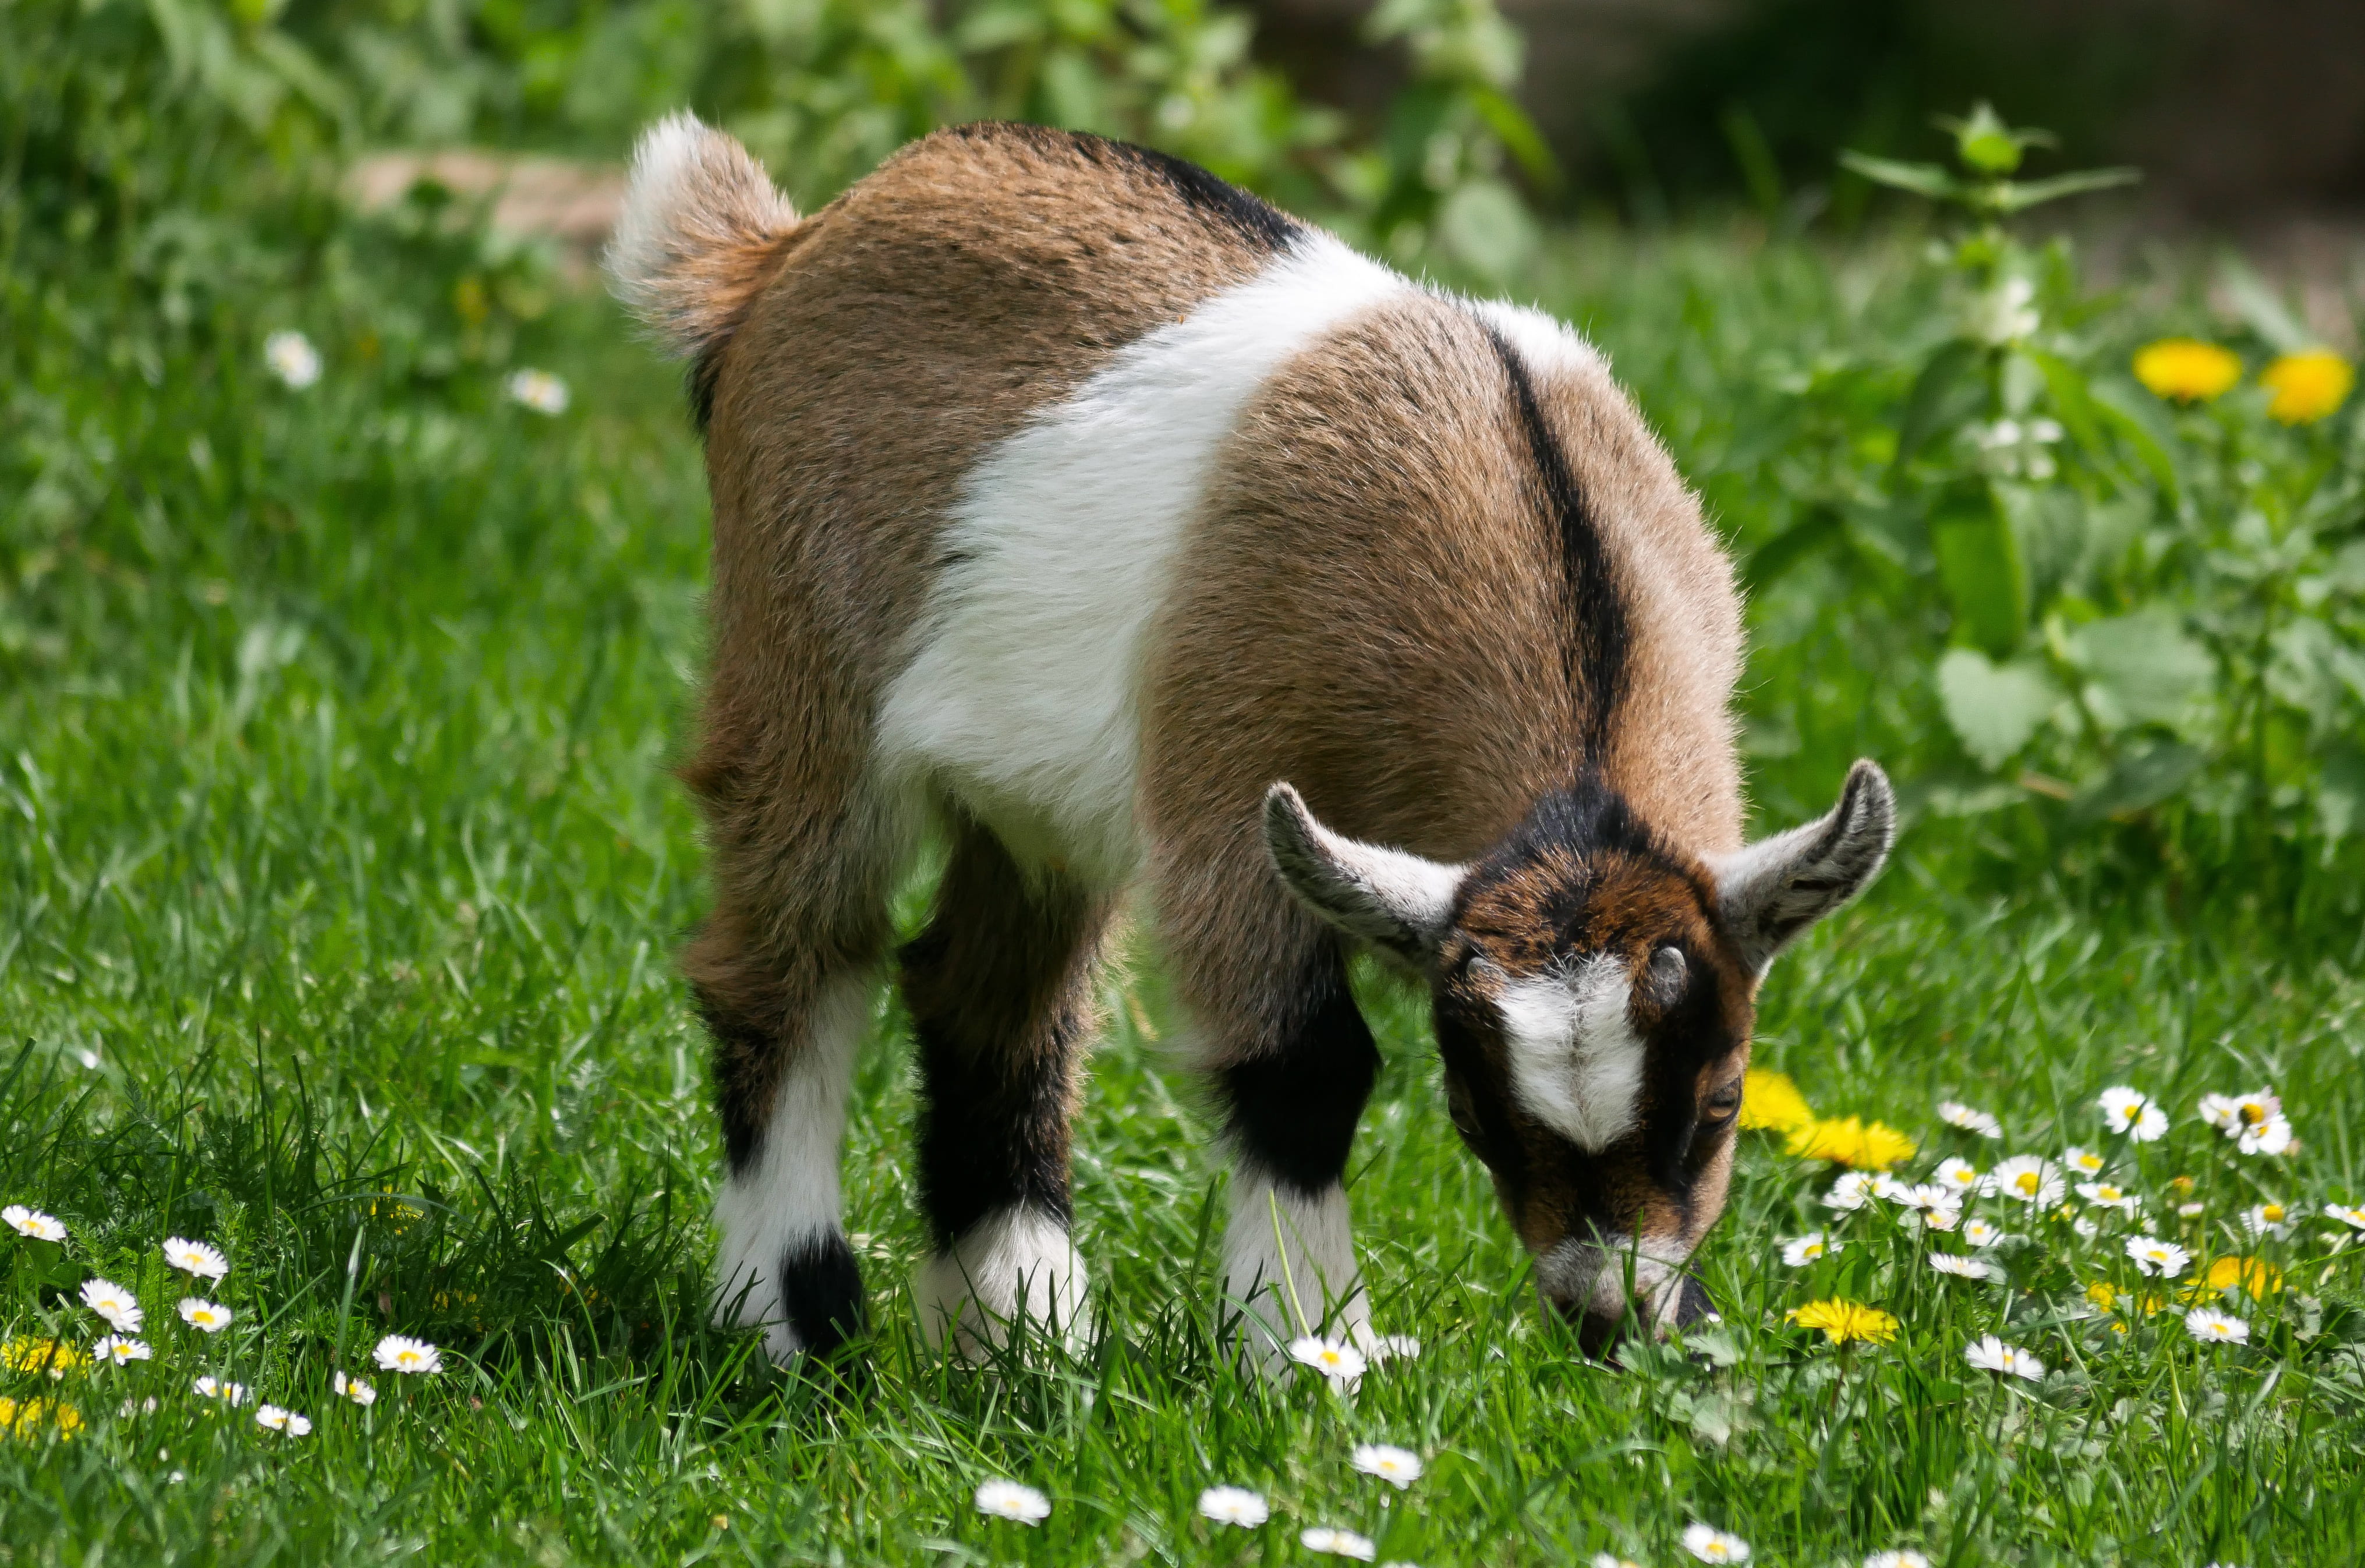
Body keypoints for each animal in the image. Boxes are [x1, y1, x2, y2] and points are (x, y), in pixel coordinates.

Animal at [606, 113, 1895, 1365]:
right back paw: (793, 1325)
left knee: (988, 994)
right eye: (1471, 1113)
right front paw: (1308, 1351)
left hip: (1033, 800)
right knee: (795, 959)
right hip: (802, 670)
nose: (1607, 1319)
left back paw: (1024, 1326)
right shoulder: (1226, 782)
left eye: (1721, 1102)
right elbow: (1306, 1066)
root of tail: (779, 253)